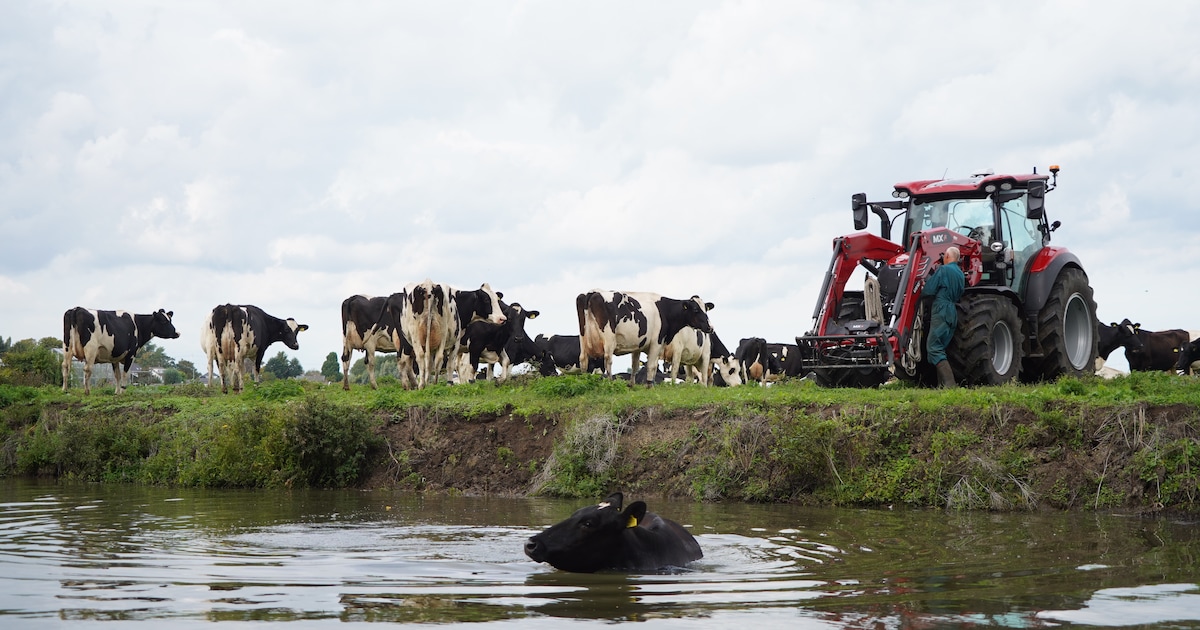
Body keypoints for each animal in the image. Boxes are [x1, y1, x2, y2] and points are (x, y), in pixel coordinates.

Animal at [577, 290, 714, 384]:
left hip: (583, 337)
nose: (710, 327)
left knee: (583, 359)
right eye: (695, 309)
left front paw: (632, 385)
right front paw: (649, 385)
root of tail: (592, 292)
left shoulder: (638, 345)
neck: (664, 310)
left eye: (706, 309)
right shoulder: (657, 342)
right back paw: (610, 381)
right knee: (608, 359)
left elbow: (635, 366)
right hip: (609, 339)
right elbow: (652, 365)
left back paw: (583, 379)